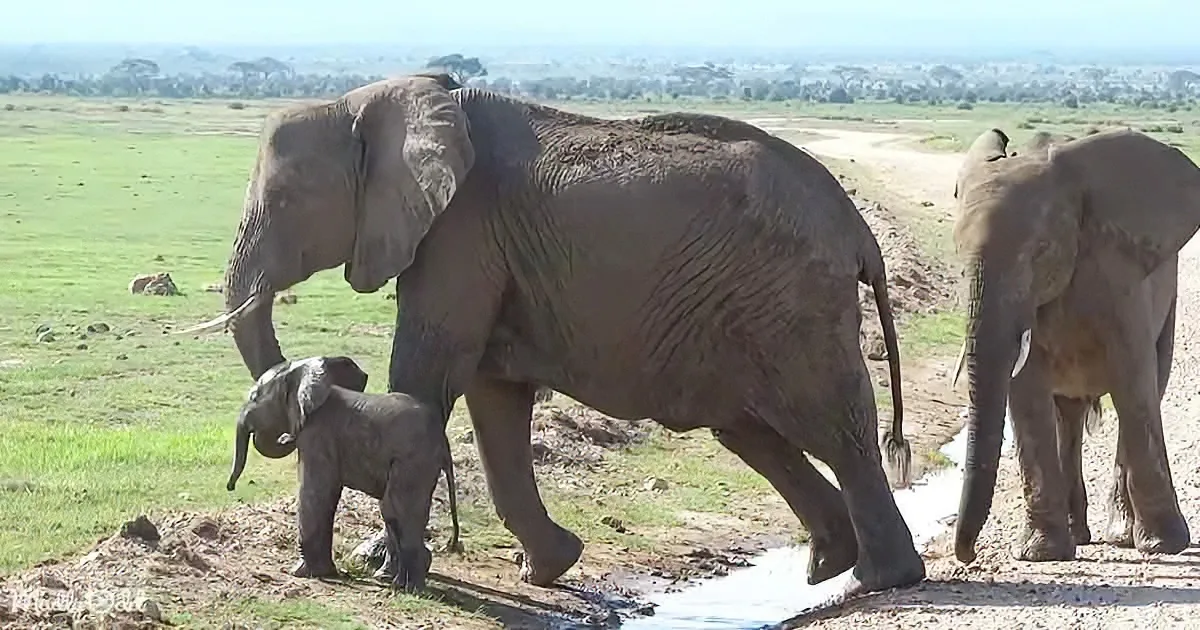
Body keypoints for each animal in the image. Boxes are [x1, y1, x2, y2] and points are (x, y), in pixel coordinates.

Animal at [225, 355, 461, 591]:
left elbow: (315, 492)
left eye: (254, 397)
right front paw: (324, 572)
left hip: (413, 461)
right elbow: (328, 495)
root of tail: (443, 440)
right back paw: (396, 582)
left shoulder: (318, 434)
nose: (230, 487)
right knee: (395, 514)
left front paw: (301, 573)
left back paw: (408, 587)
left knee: (395, 508)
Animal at [949, 126, 1200, 565]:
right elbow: (1026, 390)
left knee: (1149, 385)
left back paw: (1121, 535)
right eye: (959, 260)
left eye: (1041, 251)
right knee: (1066, 415)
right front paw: (1042, 554)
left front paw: (1165, 546)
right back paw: (1077, 534)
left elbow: (1134, 382)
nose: (967, 554)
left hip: (1168, 300)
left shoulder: (1118, 276)